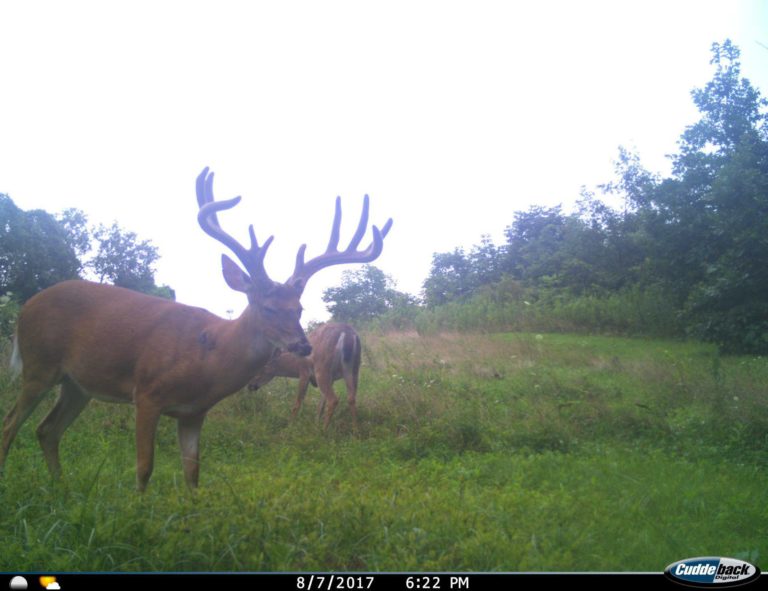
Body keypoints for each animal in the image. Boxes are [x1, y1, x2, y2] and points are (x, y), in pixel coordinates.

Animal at [0, 167, 391, 491]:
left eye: (299, 308)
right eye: (266, 306)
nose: (303, 346)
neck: (208, 356)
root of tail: (26, 308)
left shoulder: (193, 412)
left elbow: (193, 473)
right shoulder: (147, 393)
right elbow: (144, 468)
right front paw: (139, 511)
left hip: (77, 384)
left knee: (46, 430)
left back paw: (62, 488)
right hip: (39, 365)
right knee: (10, 424)